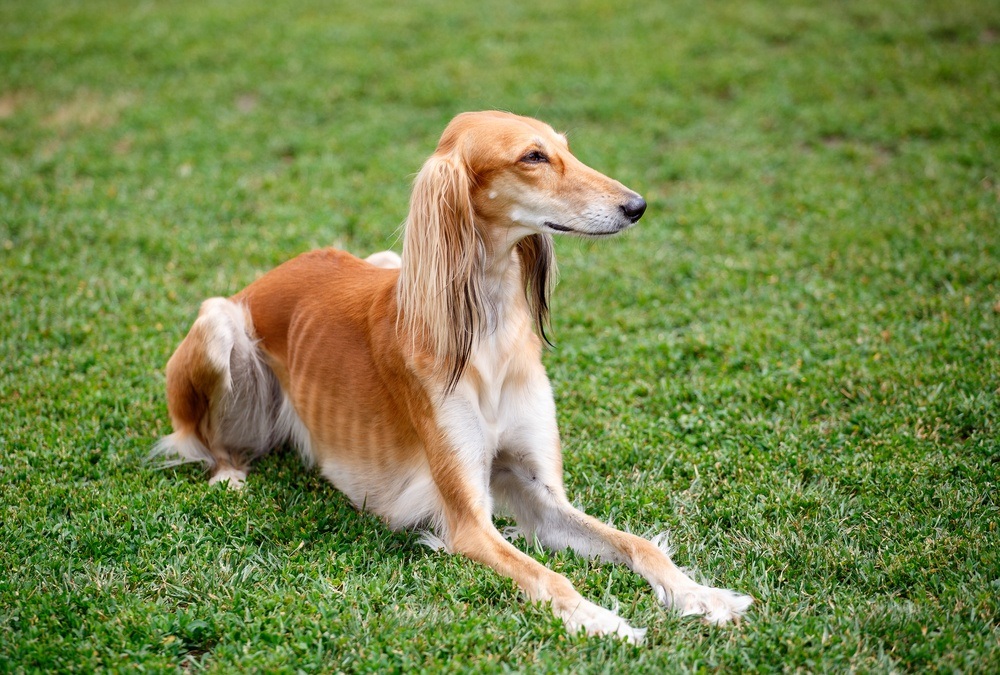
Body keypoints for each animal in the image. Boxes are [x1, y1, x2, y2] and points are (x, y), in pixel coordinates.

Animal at [154, 112, 752, 644]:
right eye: (533, 157)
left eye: (563, 147)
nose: (637, 206)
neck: (488, 333)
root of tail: (272, 273)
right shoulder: (468, 522)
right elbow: (546, 574)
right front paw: (598, 618)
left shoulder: (539, 491)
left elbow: (637, 543)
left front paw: (701, 595)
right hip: (217, 323)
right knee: (197, 437)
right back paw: (229, 475)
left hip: (388, 259)